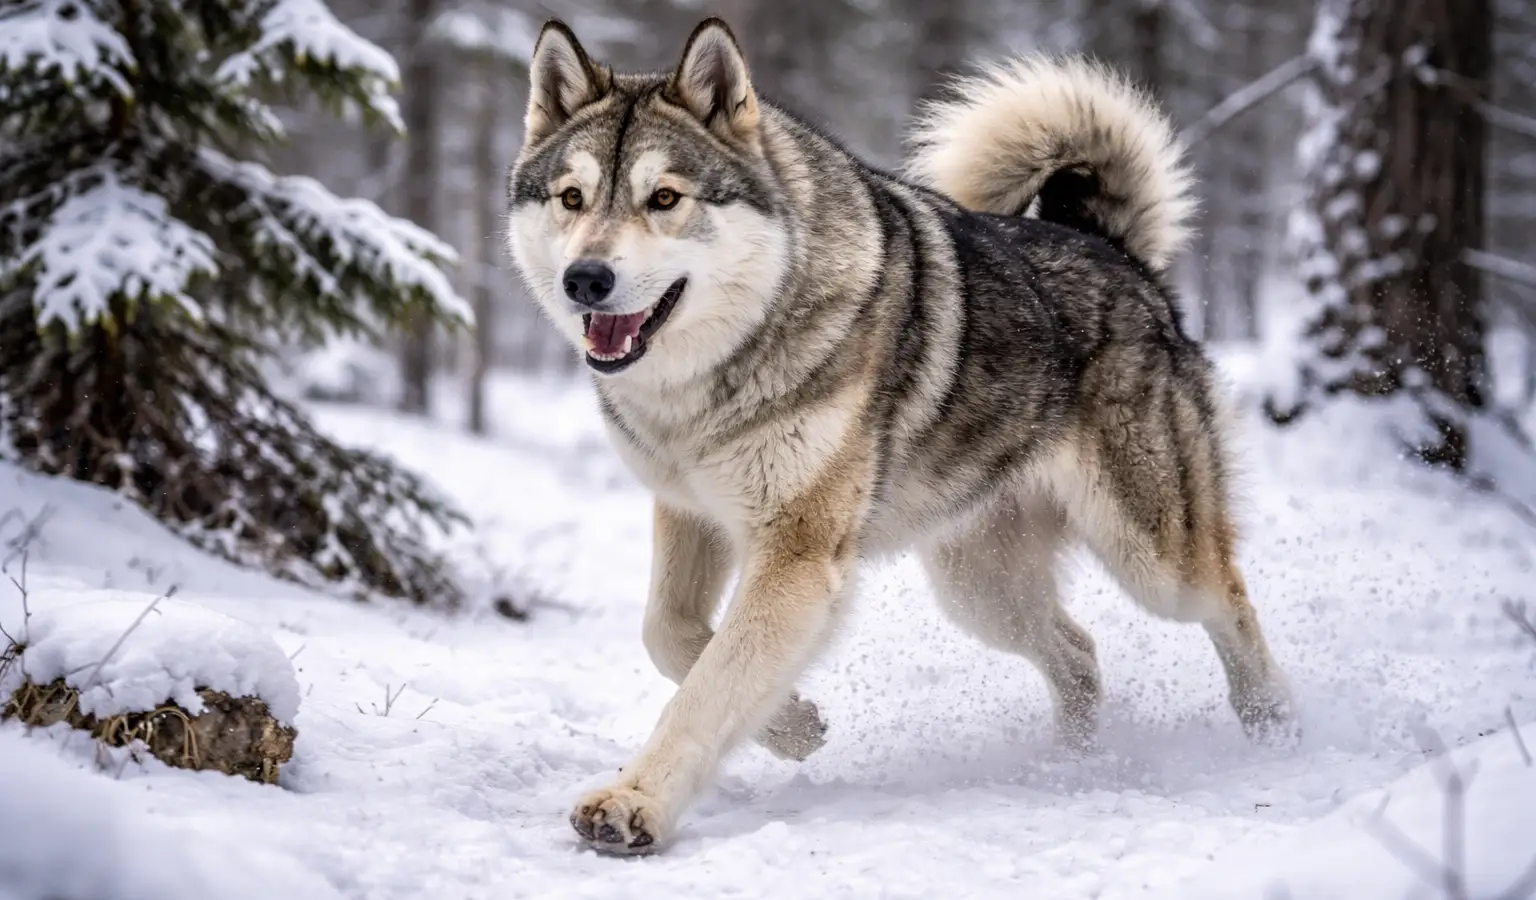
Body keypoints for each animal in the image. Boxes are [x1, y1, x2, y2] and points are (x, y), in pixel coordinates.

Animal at [505, 17, 1295, 855]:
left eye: (663, 198)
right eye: (571, 198)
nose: (585, 280)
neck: (713, 379)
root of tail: (1114, 250)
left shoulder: (796, 553)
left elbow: (710, 685)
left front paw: (635, 803)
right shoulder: (692, 513)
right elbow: (673, 638)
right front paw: (796, 724)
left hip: (1152, 563)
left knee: (1229, 599)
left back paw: (1276, 729)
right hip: (979, 588)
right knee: (1080, 653)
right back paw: (1071, 763)